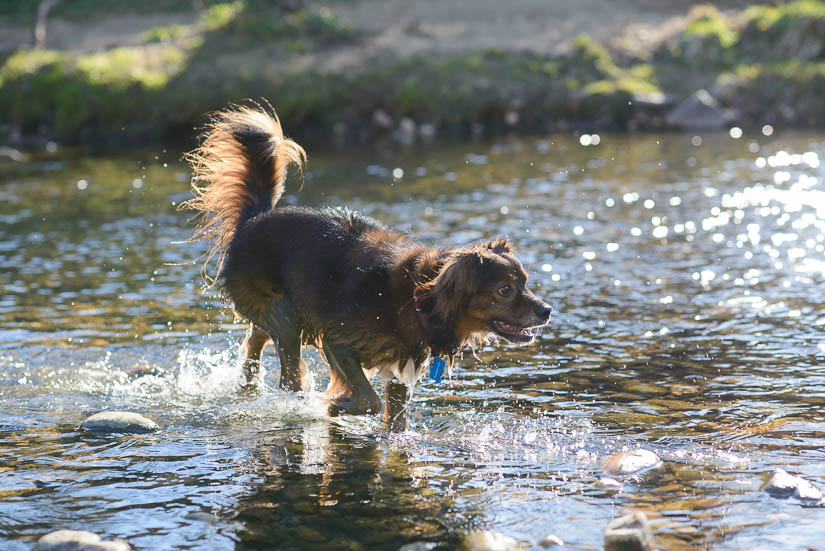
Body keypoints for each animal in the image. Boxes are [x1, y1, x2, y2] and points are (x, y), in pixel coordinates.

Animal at [183, 103, 552, 432]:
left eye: (526, 281)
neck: (419, 299)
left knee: (256, 336)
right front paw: (336, 406)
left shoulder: (401, 371)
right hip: (286, 317)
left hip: (282, 312)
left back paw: (248, 380)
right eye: (505, 290)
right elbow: (369, 400)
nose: (547, 311)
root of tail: (254, 220)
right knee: (288, 375)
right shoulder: (338, 342)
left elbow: (396, 420)